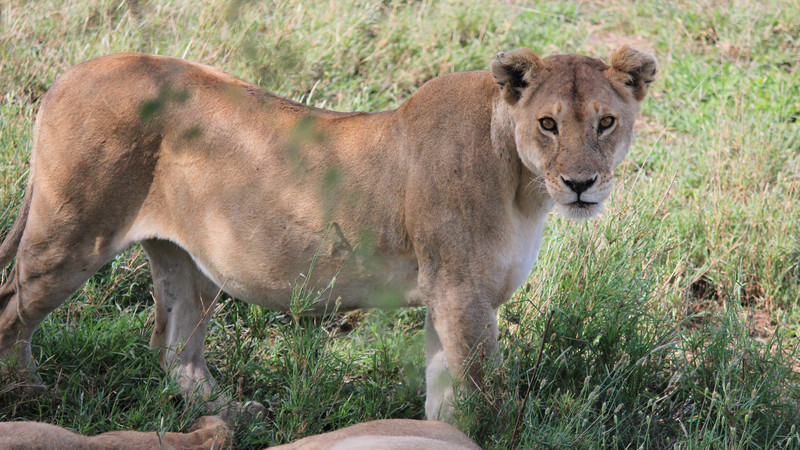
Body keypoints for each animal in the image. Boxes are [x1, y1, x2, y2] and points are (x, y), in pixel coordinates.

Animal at [0, 46, 656, 421]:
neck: (523, 185)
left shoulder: (447, 300)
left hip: (189, 258)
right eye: (548, 124)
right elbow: (484, 399)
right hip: (72, 234)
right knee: (12, 310)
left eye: (606, 122)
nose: (580, 184)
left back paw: (235, 415)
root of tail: (72, 73)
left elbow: (445, 401)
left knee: (173, 348)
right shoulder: (462, 297)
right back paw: (28, 397)